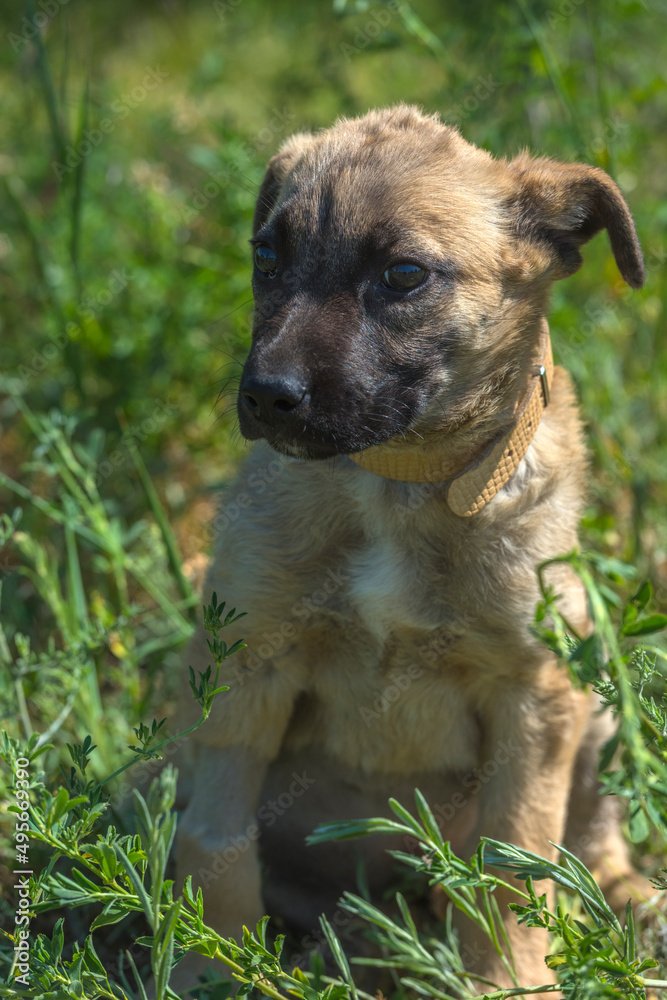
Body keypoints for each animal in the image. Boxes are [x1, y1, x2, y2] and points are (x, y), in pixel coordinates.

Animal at [174, 105, 648, 996]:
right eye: (266, 255)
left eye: (402, 276)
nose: (265, 395)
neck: (397, 479)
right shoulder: (247, 662)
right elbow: (212, 840)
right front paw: (207, 964)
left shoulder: (533, 692)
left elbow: (514, 860)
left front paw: (507, 979)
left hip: (593, 700)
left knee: (591, 835)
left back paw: (629, 903)